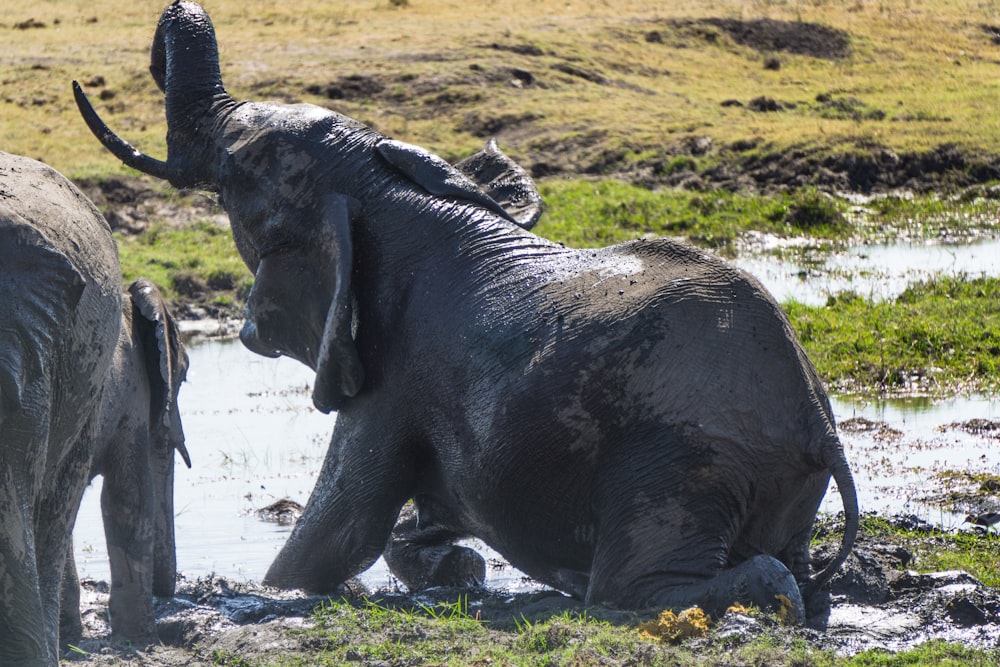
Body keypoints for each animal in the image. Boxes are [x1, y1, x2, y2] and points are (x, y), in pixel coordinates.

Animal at [76, 0, 860, 624]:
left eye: (240, 167)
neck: (383, 191)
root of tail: (818, 422)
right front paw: (452, 568)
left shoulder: (393, 378)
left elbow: (339, 531)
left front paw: (269, 593)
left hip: (682, 459)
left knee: (640, 586)